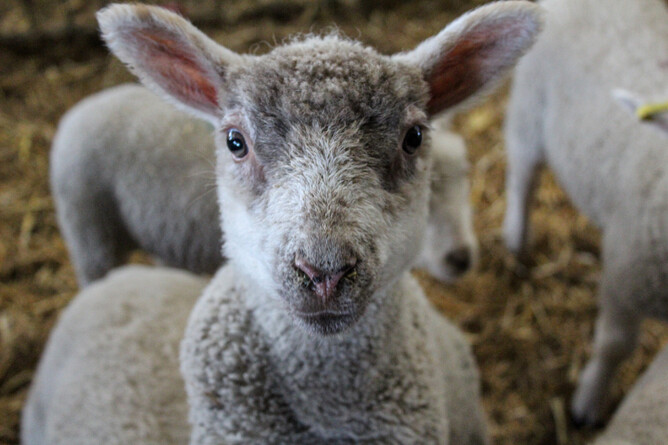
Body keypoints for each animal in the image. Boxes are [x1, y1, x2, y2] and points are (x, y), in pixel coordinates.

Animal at [502, 0, 668, 427]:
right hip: (530, 106)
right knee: (522, 175)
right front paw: (587, 403)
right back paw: (516, 237)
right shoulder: (627, 275)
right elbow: (614, 346)